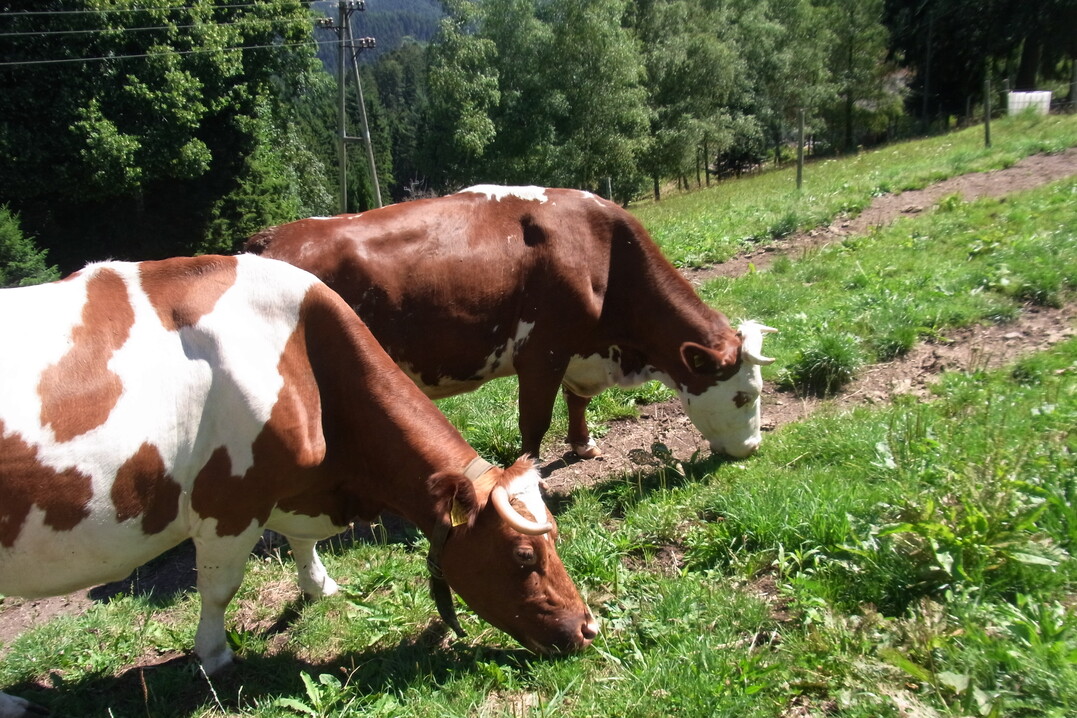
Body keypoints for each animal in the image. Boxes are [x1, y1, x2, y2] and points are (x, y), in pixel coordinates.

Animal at [0, 254, 596, 717]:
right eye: (523, 555)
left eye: (554, 540)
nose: (589, 628)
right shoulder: (229, 503)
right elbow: (219, 589)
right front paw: (215, 656)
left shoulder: (290, 489)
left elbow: (302, 541)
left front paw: (319, 587)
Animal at [245, 185, 776, 461]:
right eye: (742, 396)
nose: (752, 447)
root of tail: (267, 238)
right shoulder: (542, 352)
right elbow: (534, 419)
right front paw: (529, 473)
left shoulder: (578, 350)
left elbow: (577, 400)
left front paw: (583, 446)